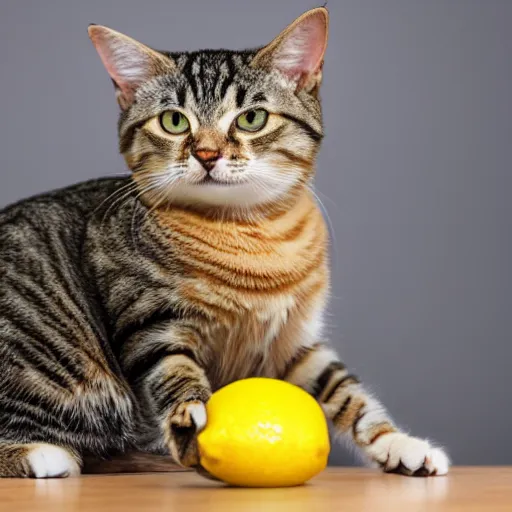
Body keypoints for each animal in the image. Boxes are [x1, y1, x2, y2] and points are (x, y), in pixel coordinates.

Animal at [0, 8, 448, 478]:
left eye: (251, 118)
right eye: (174, 121)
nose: (207, 154)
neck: (254, 235)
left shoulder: (296, 342)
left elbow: (345, 390)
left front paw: (395, 442)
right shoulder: (150, 322)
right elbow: (172, 369)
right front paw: (188, 419)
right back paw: (40, 454)